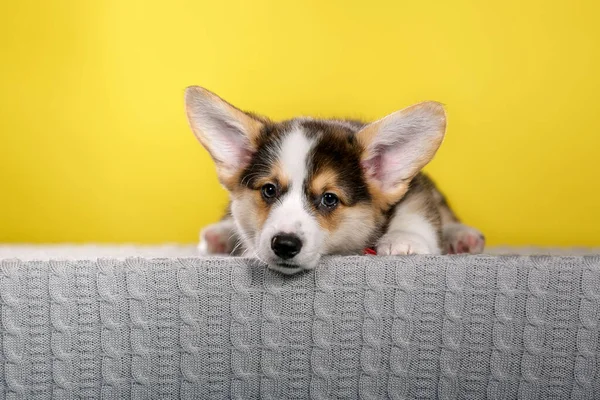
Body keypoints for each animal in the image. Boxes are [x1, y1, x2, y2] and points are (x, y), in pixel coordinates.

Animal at [185, 86, 486, 276]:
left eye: (329, 198)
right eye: (269, 190)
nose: (284, 244)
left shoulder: (416, 190)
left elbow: (415, 215)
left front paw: (403, 241)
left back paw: (463, 237)